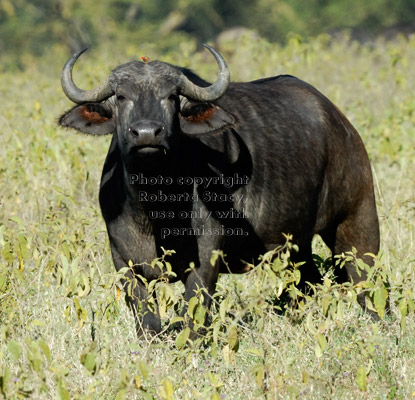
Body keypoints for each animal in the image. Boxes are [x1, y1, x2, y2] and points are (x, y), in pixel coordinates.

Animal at [58, 45, 380, 336]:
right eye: (121, 97)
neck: (155, 206)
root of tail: (341, 125)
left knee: (367, 284)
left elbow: (193, 316)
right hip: (295, 245)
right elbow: (147, 321)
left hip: (357, 221)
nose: (147, 133)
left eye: (171, 96)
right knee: (308, 283)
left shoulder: (205, 257)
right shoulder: (123, 262)